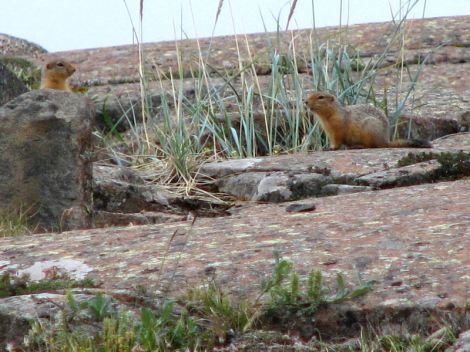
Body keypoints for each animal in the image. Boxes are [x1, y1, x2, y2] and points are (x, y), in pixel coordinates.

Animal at [302, 92, 432, 148]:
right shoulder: (329, 131)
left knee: (371, 145)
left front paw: (331, 148)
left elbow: (337, 140)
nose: (305, 101)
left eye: (321, 97)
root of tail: (385, 140)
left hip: (369, 128)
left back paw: (359, 146)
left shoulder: (338, 128)